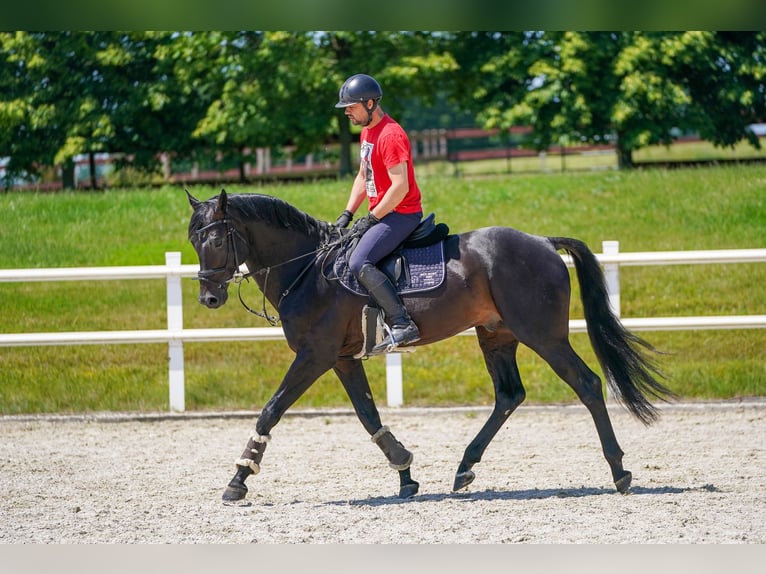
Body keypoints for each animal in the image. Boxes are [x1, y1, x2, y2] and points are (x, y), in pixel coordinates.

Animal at [186, 188, 676, 502]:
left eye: (216, 238)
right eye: (193, 240)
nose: (209, 297)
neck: (309, 270)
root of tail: (541, 241)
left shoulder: (315, 355)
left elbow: (271, 410)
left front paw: (239, 479)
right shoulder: (341, 359)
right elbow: (368, 416)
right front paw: (404, 472)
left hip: (542, 335)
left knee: (587, 384)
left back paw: (619, 471)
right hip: (496, 335)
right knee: (509, 395)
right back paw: (465, 467)